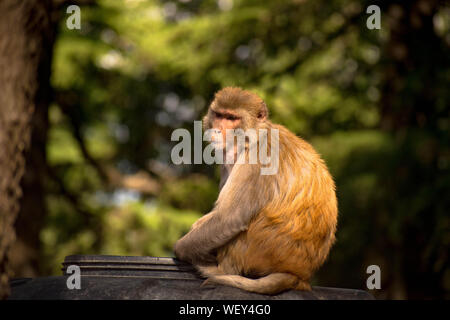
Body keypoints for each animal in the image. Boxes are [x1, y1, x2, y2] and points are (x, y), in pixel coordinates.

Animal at [174, 86, 336, 294]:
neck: (253, 136)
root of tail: (299, 275)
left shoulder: (256, 159)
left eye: (232, 118)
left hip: (258, 250)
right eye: (219, 115)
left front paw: (180, 249)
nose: (218, 129)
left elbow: (229, 217)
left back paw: (218, 271)